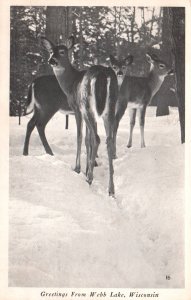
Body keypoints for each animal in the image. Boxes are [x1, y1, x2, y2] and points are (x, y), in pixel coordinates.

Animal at [41, 36, 118, 197]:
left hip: (87, 104)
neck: (70, 84)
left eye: (62, 51)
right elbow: (88, 140)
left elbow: (80, 137)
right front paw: (89, 166)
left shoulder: (77, 109)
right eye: (51, 51)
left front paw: (78, 168)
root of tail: (102, 74)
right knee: (108, 140)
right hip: (110, 107)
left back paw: (90, 179)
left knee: (97, 138)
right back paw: (111, 189)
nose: (52, 60)